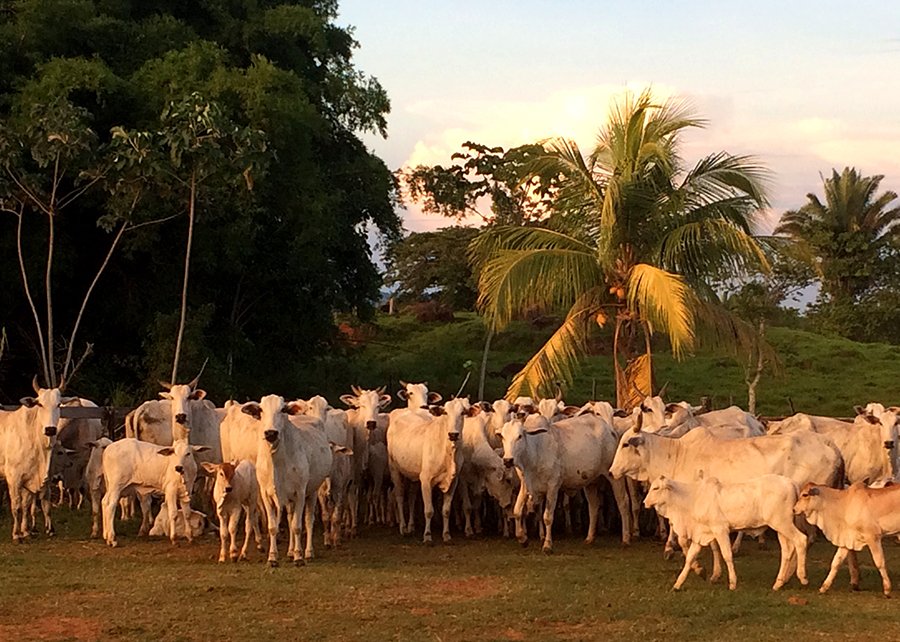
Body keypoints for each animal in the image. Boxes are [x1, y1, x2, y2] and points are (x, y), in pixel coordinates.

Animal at [386, 396, 472, 540]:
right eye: (445, 412)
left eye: (463, 413)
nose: (453, 434)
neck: (448, 452)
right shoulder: (426, 480)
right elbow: (429, 510)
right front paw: (427, 535)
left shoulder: (453, 481)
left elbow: (446, 510)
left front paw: (446, 535)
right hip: (394, 470)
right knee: (399, 496)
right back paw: (403, 527)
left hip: (414, 476)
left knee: (411, 498)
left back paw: (411, 526)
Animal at [644, 472, 804, 588]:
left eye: (656, 488)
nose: (645, 502)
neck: (692, 498)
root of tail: (791, 482)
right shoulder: (700, 534)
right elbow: (690, 557)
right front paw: (678, 584)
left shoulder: (720, 530)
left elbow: (727, 555)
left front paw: (732, 583)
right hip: (781, 529)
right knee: (787, 550)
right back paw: (779, 583)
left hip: (782, 524)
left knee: (801, 540)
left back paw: (802, 577)